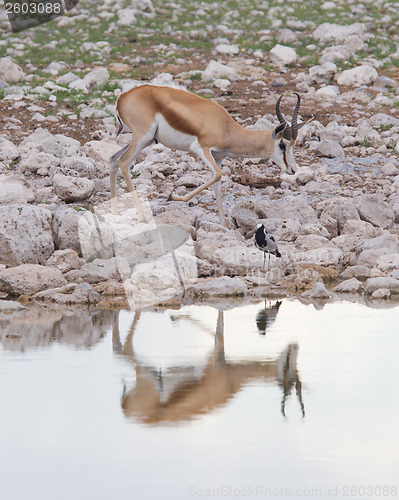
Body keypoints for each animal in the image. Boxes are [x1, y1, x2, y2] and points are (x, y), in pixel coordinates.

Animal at [109, 86, 304, 227]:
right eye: (282, 144)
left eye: (294, 145)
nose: (293, 169)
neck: (226, 128)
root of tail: (122, 98)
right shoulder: (201, 148)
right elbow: (217, 174)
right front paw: (172, 196)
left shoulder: (218, 157)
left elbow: (217, 186)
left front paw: (224, 227)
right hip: (143, 137)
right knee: (123, 162)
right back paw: (141, 216)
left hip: (147, 140)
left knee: (113, 159)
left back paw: (115, 214)